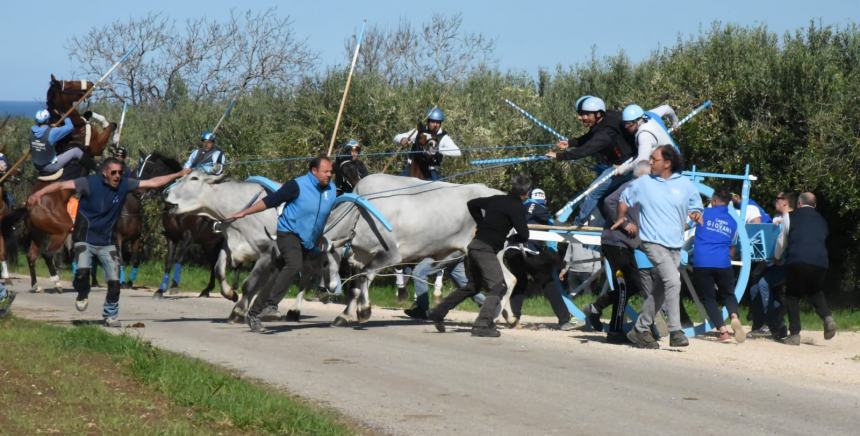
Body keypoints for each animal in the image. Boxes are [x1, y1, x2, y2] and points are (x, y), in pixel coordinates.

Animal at [25, 76, 116, 292]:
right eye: (70, 83)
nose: (89, 84)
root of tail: (30, 205)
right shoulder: (96, 146)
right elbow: (111, 126)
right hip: (61, 228)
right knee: (47, 253)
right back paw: (57, 282)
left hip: (37, 233)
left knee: (31, 256)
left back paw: (36, 285)